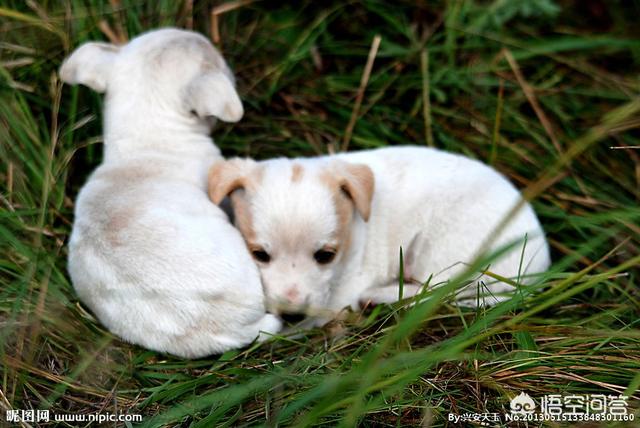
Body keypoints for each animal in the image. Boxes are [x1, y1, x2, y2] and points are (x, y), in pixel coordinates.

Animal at [209, 145, 552, 320]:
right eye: (259, 255)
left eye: (325, 256)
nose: (292, 315)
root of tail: (538, 268)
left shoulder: (342, 291)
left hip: (444, 248)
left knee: (438, 291)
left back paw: (381, 297)